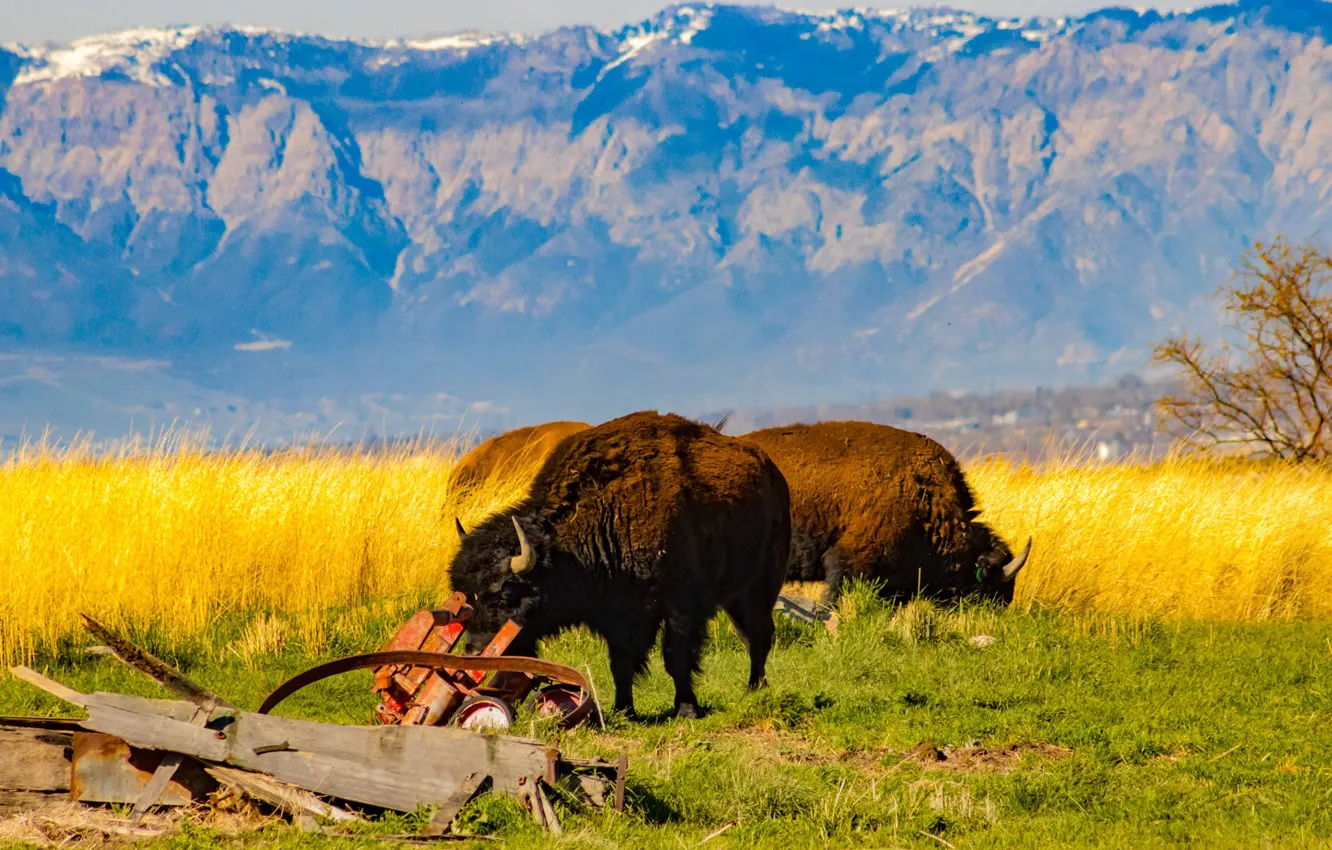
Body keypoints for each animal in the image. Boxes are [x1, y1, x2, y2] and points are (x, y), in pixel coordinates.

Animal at [452, 410, 793, 719]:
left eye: (505, 595)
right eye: (467, 595)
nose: (475, 650)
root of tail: (774, 474)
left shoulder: (680, 606)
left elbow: (676, 657)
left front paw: (686, 709)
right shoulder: (616, 613)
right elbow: (621, 663)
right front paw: (623, 710)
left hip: (758, 588)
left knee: (758, 635)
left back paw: (753, 690)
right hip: (736, 597)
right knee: (751, 635)